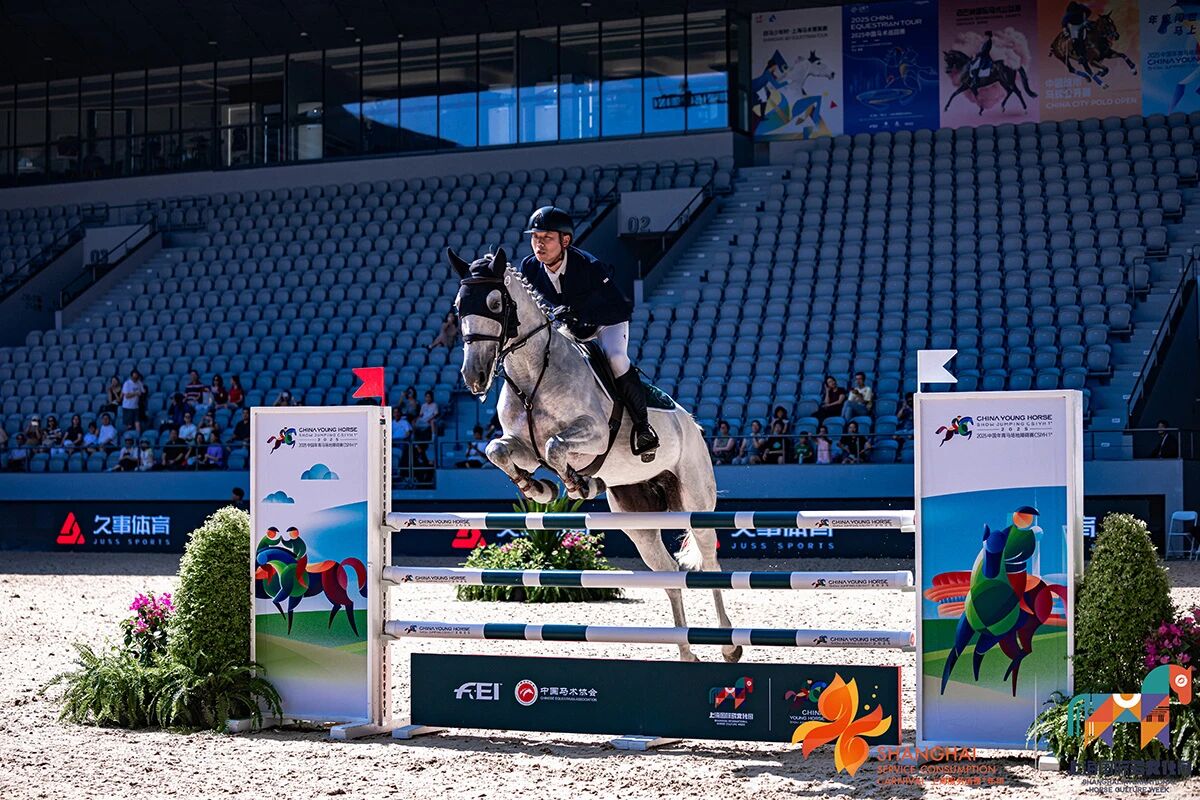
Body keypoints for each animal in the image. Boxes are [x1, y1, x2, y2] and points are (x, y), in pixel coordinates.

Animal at [447, 247, 740, 663]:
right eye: (459, 306)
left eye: (494, 303)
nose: (474, 377)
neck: (533, 373)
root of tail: (694, 425)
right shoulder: (522, 447)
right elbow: (498, 449)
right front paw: (539, 490)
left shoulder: (595, 436)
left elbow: (555, 447)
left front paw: (577, 485)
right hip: (638, 519)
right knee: (669, 574)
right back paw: (686, 654)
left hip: (696, 501)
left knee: (711, 562)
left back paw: (729, 646)